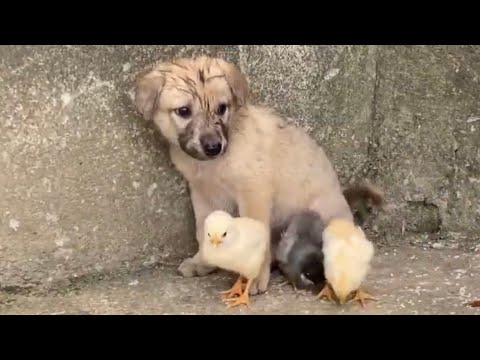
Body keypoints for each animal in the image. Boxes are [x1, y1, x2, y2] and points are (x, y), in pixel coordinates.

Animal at [134, 54, 356, 294]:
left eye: (222, 108)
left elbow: (254, 239)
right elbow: (203, 231)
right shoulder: (203, 194)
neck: (213, 165)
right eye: (183, 111)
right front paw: (202, 261)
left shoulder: (253, 192)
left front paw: (254, 277)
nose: (214, 147)